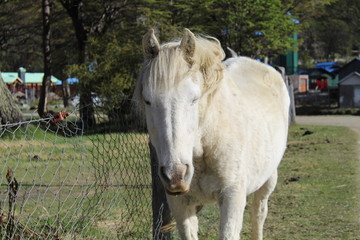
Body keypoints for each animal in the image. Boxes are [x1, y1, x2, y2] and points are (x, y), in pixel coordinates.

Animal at [135, 29, 290, 239]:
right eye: (148, 101)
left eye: (194, 98)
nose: (175, 175)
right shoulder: (180, 205)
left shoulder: (232, 198)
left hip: (268, 179)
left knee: (259, 213)